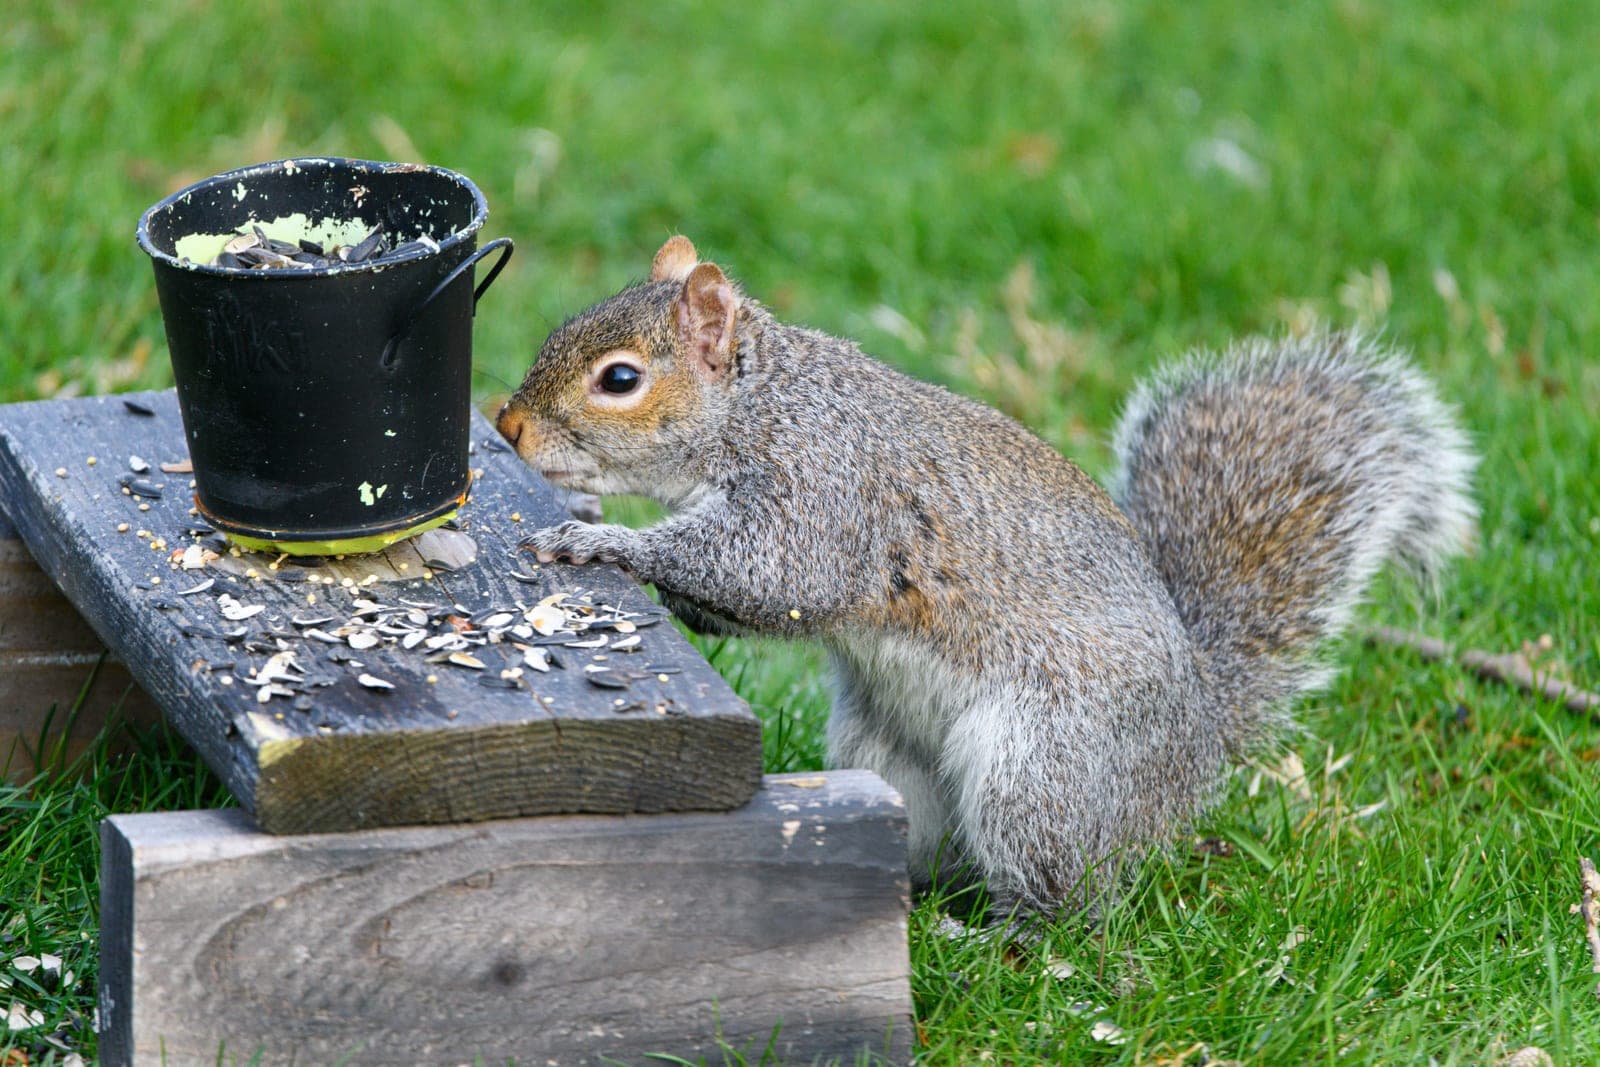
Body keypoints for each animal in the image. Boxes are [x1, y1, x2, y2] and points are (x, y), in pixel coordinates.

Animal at [496, 236, 1477, 918]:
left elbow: (774, 573)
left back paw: (1001, 937)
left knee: (1064, 891)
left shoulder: (824, 490)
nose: (505, 427)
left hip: (1045, 768)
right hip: (886, 754)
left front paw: (608, 543)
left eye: (620, 379)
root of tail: (1196, 743)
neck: (762, 401)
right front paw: (588, 515)